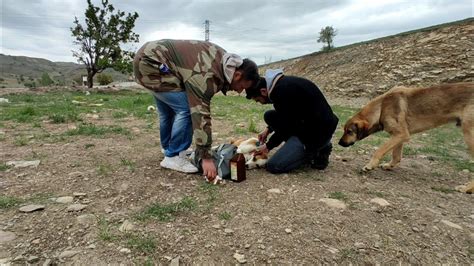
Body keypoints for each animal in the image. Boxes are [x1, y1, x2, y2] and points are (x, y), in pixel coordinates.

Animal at [338, 82, 472, 171]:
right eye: (344, 130)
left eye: (349, 131)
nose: (339, 143)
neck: (381, 107)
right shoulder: (399, 136)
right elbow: (396, 156)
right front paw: (389, 165)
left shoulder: (401, 134)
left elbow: (379, 150)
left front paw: (370, 165)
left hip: (468, 133)